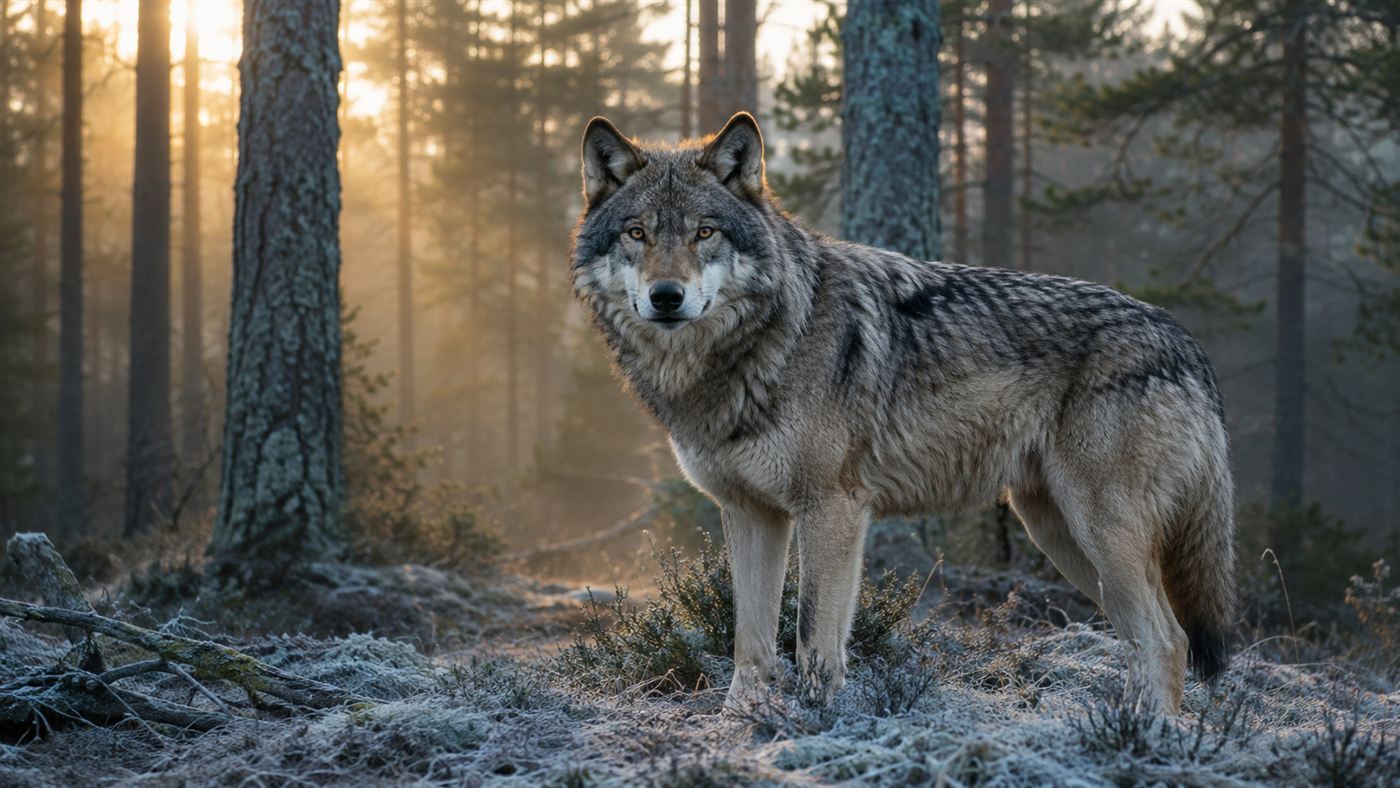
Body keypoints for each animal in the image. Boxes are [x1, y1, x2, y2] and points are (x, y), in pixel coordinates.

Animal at [570, 112, 1237, 713]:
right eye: (637, 234)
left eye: (705, 233)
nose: (666, 297)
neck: (762, 342)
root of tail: (1187, 342)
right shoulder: (751, 513)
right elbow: (750, 641)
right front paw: (744, 723)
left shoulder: (831, 509)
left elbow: (813, 636)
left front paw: (817, 721)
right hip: (1060, 535)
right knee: (1149, 641)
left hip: (1098, 531)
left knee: (1168, 640)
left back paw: (1146, 740)